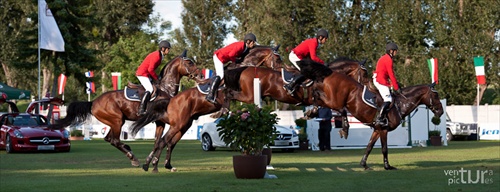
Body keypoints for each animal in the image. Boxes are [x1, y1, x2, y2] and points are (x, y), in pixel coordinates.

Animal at [48, 51, 199, 166]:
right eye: (189, 63)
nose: (199, 75)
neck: (166, 88)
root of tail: (94, 102)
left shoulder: (160, 122)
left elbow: (157, 141)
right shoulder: (163, 119)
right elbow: (162, 139)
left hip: (114, 122)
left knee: (109, 139)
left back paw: (130, 152)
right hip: (117, 120)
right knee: (114, 140)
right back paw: (133, 157)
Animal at [298, 59, 444, 170]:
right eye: (435, 95)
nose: (441, 111)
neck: (399, 104)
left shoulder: (377, 130)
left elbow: (369, 147)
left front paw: (363, 164)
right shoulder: (383, 130)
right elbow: (384, 149)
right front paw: (387, 166)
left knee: (321, 101)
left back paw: (312, 112)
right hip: (334, 100)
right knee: (331, 105)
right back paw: (340, 126)